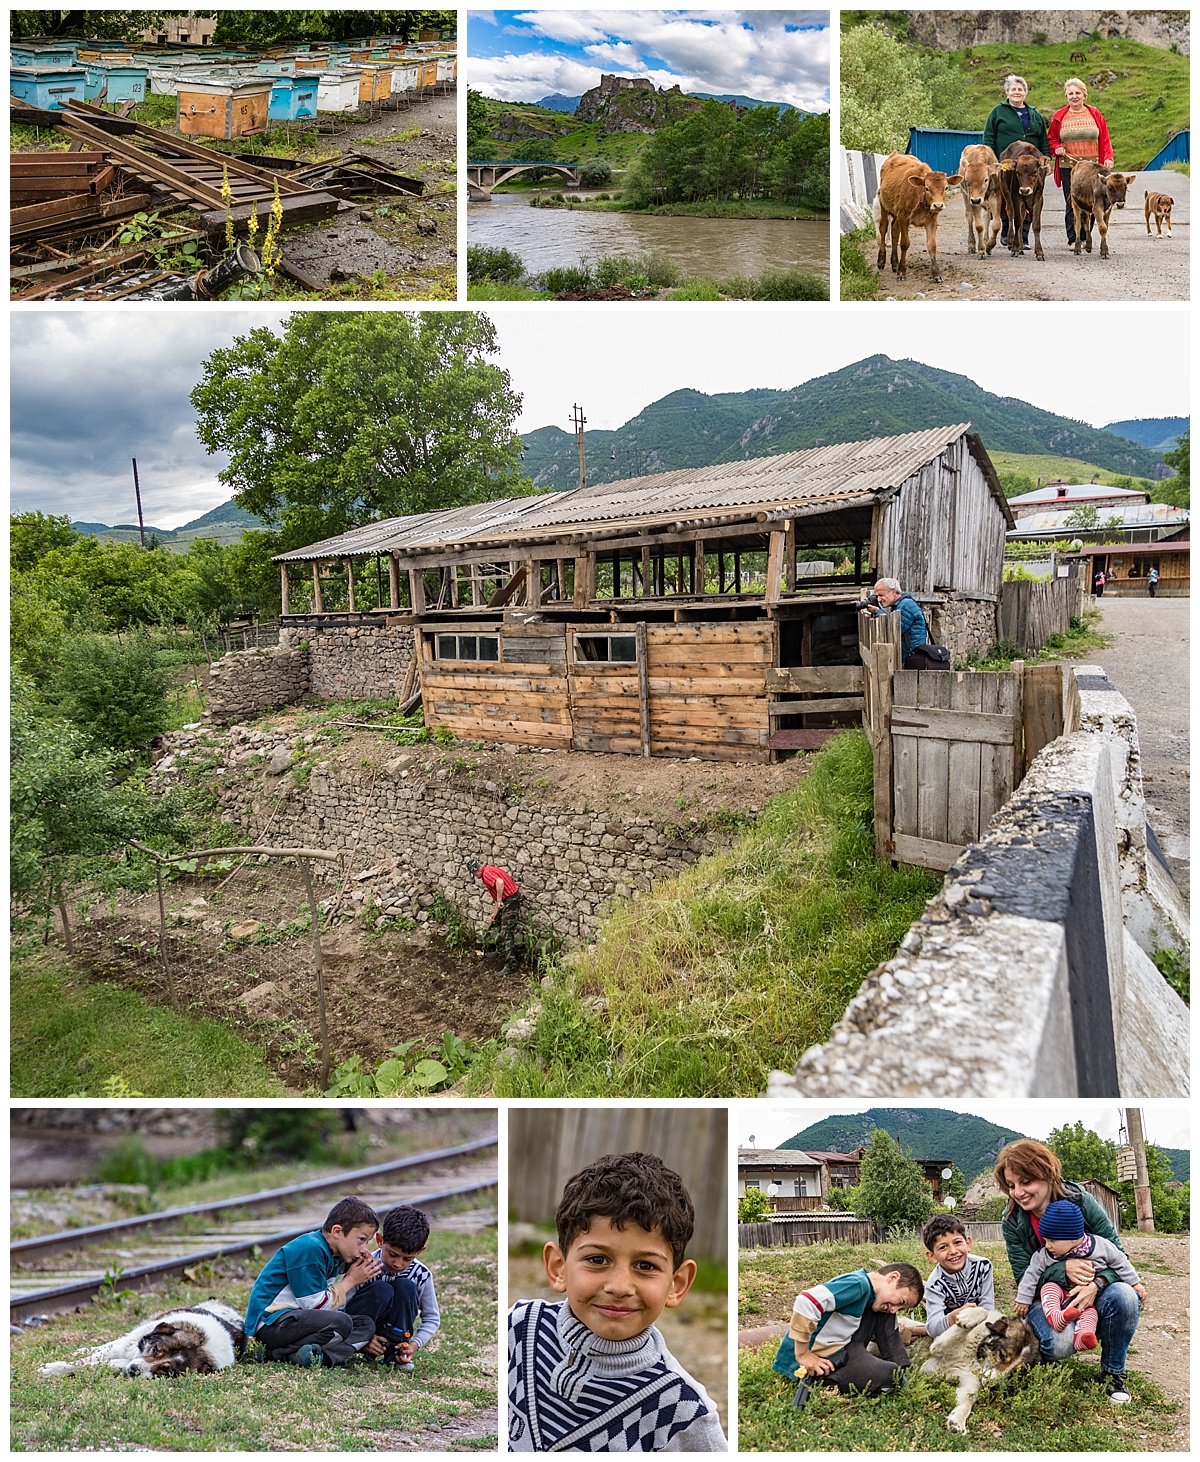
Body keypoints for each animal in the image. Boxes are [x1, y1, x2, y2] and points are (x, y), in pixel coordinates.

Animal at [39, 1304, 245, 1380]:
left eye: (165, 1370)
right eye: (155, 1349)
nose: (133, 1370)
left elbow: (95, 1365)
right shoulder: (128, 1347)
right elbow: (86, 1360)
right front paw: (53, 1368)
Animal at [865, 153, 958, 282]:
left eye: (946, 187)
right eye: (927, 188)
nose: (938, 205)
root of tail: (895, 154)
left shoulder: (932, 220)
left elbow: (932, 245)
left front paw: (936, 273)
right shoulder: (904, 218)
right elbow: (905, 243)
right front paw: (902, 272)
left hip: (896, 214)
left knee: (894, 231)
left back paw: (894, 263)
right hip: (883, 205)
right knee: (883, 229)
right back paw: (881, 261)